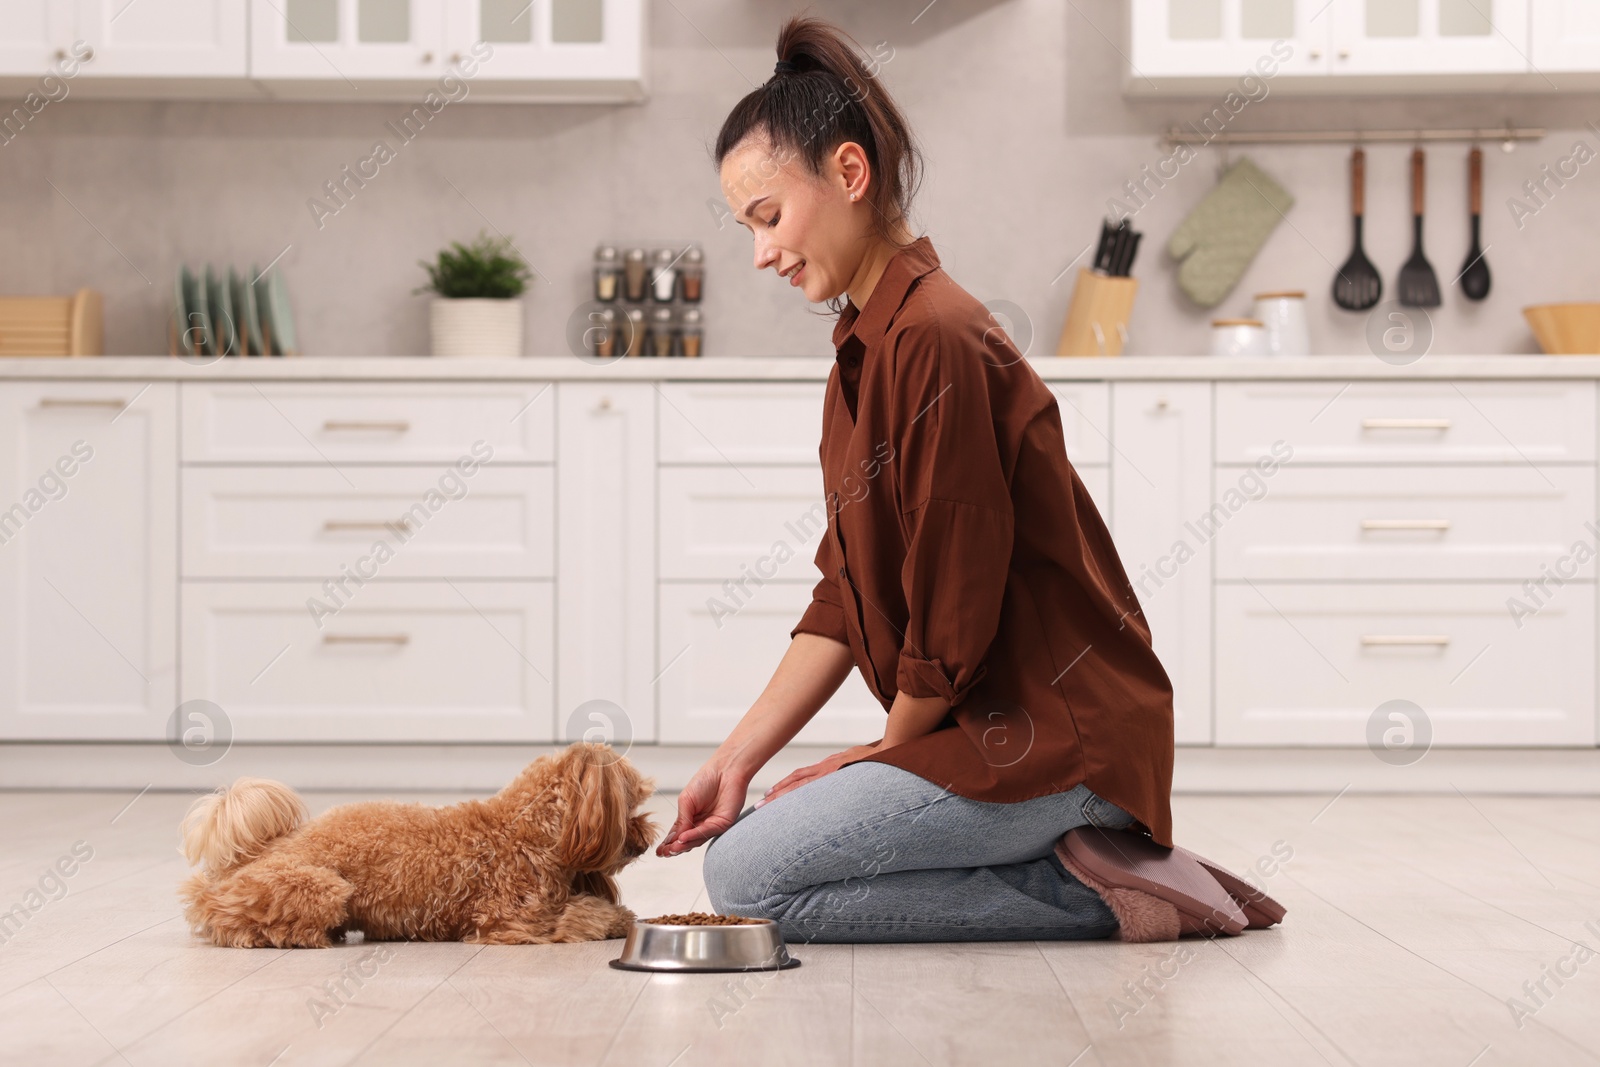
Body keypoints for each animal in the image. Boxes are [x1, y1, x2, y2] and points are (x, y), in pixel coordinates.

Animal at [173, 742, 649, 953]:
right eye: (632, 806)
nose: (645, 842)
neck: (528, 829)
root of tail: (255, 854)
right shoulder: (515, 921)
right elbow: (583, 915)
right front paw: (618, 919)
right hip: (317, 889)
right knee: (231, 919)